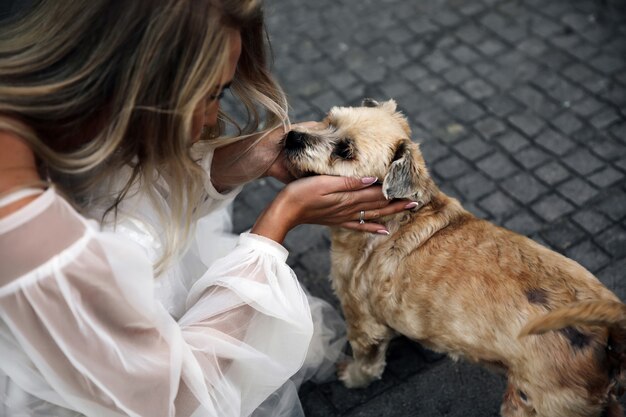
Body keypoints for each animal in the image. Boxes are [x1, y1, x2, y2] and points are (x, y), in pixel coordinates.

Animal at [282, 98, 624, 416]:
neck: (399, 218)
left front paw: (351, 376)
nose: (293, 136)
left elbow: (367, 363)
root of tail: (608, 335)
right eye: (329, 120)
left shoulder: (362, 320)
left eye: (345, 151)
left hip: (533, 402)